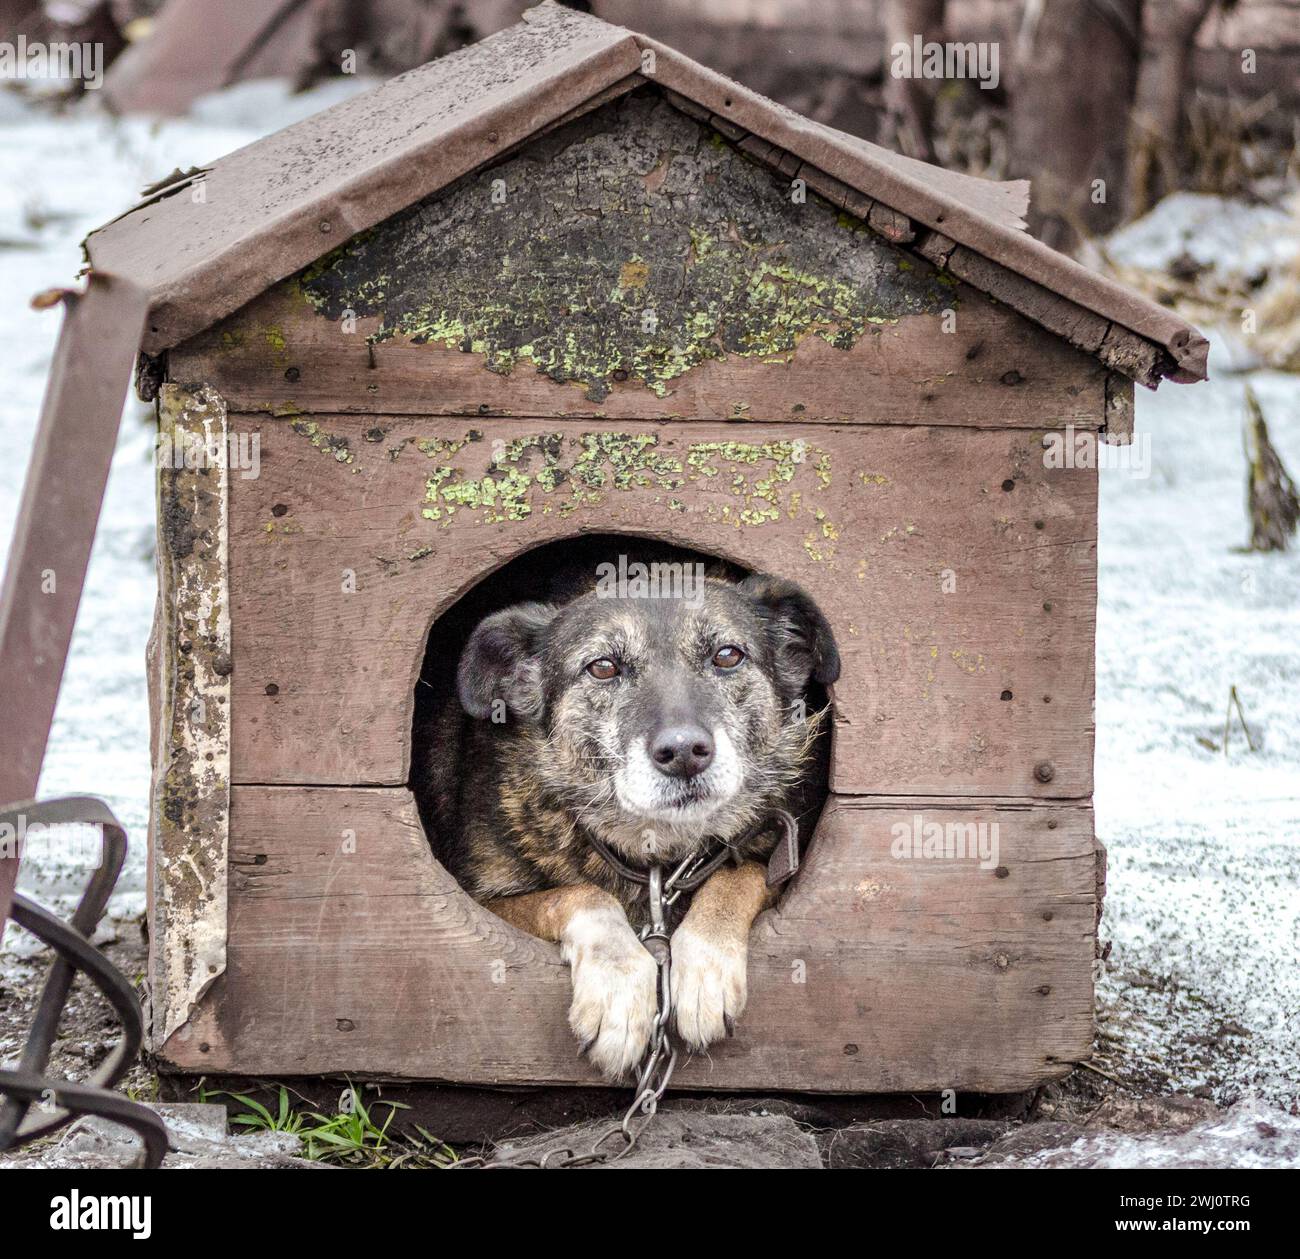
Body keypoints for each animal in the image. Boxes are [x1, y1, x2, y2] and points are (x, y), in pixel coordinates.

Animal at [418, 556, 842, 1076]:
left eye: (727, 655)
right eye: (603, 667)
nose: (683, 753)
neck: (658, 852)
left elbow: (738, 875)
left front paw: (704, 968)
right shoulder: (486, 904)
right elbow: (581, 895)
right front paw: (618, 992)